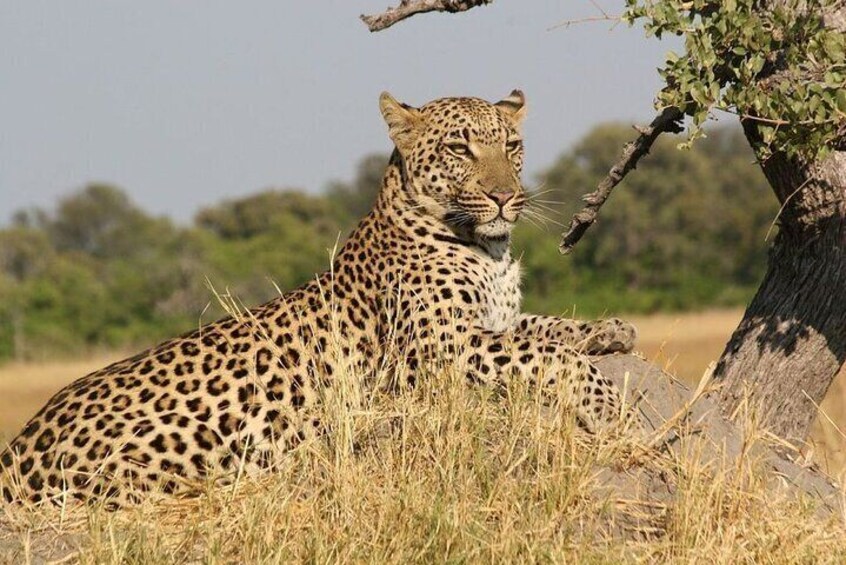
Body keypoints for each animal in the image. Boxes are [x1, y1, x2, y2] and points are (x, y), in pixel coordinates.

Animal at [0, 91, 637, 505]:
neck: (489, 250)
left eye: (513, 145)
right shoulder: (430, 350)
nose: (507, 196)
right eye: (460, 148)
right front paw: (608, 404)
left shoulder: (491, 321)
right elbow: (542, 352)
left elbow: (549, 327)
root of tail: (18, 446)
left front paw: (611, 330)